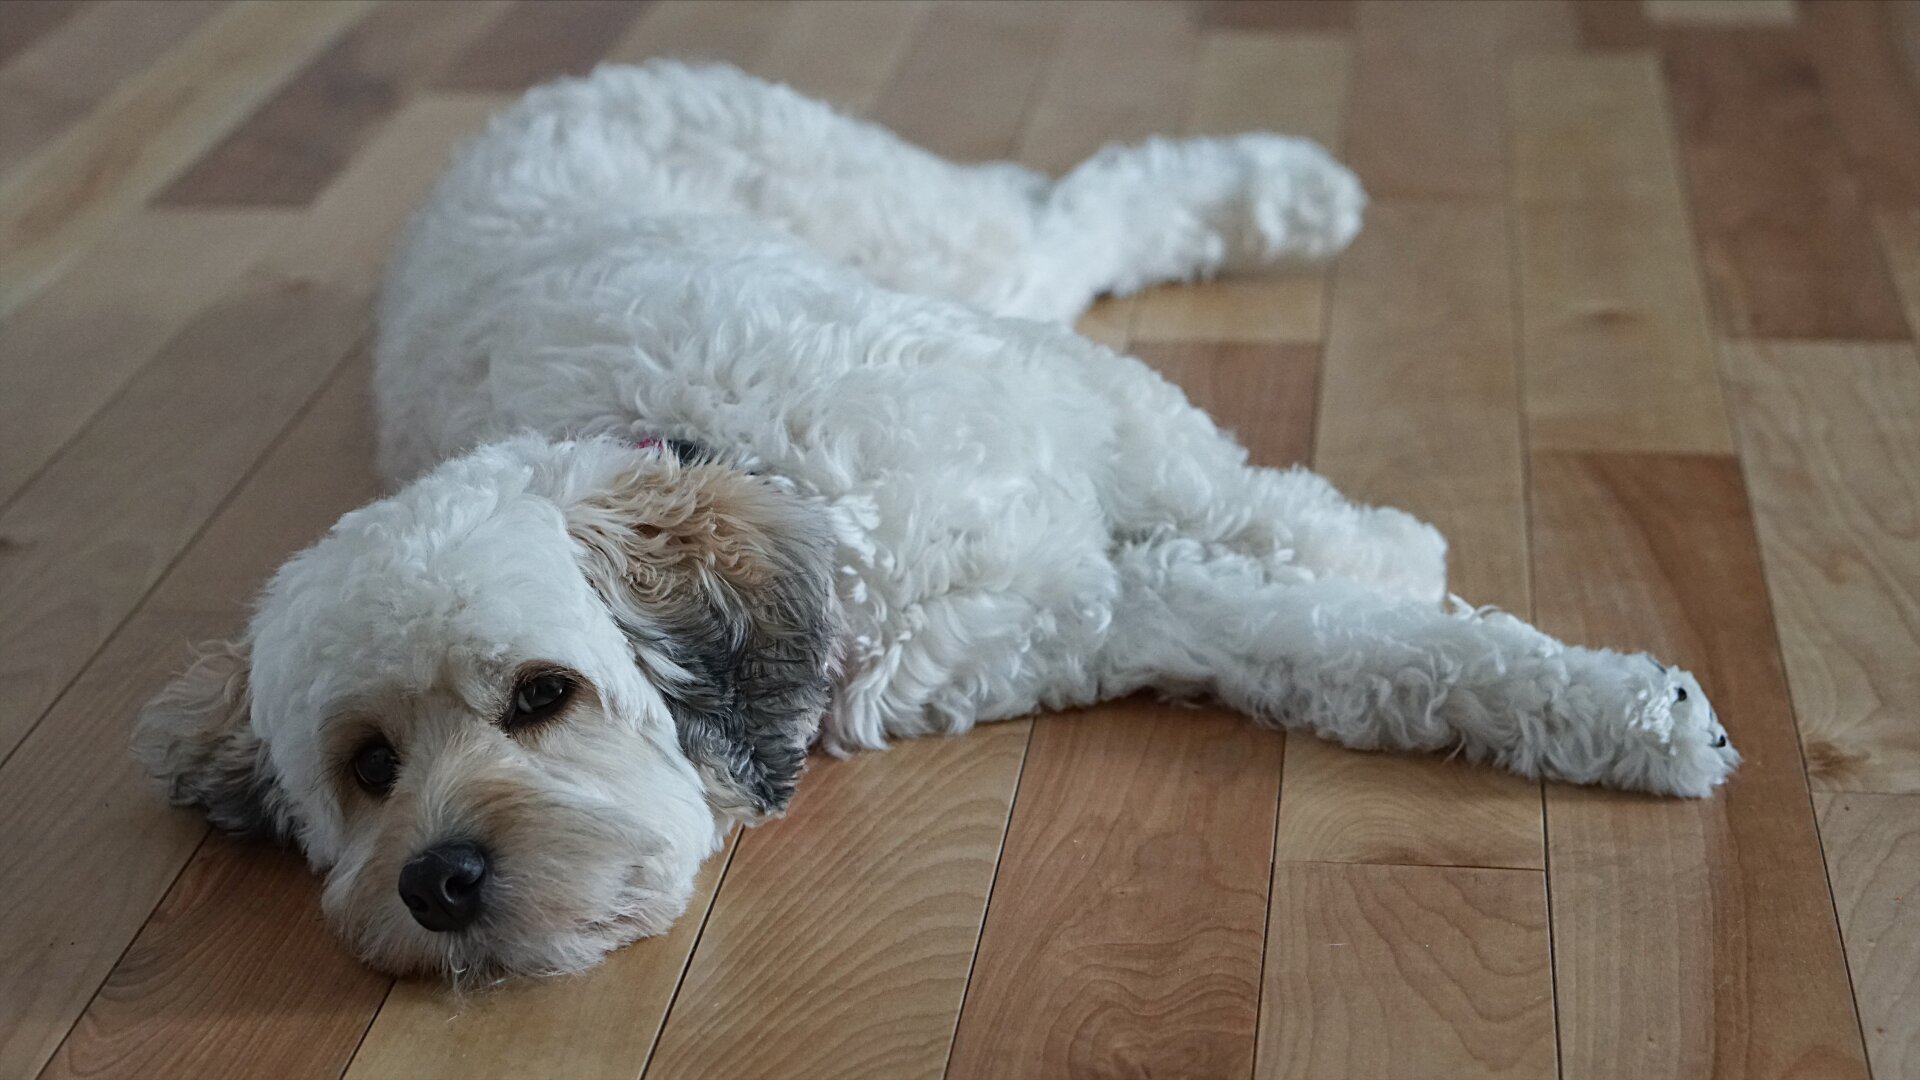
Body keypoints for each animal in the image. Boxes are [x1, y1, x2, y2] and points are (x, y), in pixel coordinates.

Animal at [127, 61, 1735, 976]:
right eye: (368, 768)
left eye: (540, 696)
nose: (439, 881)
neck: (812, 508)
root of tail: (548, 87)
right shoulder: (1104, 611)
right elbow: (1373, 657)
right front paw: (1612, 709)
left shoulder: (1079, 404)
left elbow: (1245, 496)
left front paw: (1389, 551)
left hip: (941, 243)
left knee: (1083, 197)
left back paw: (1286, 191)